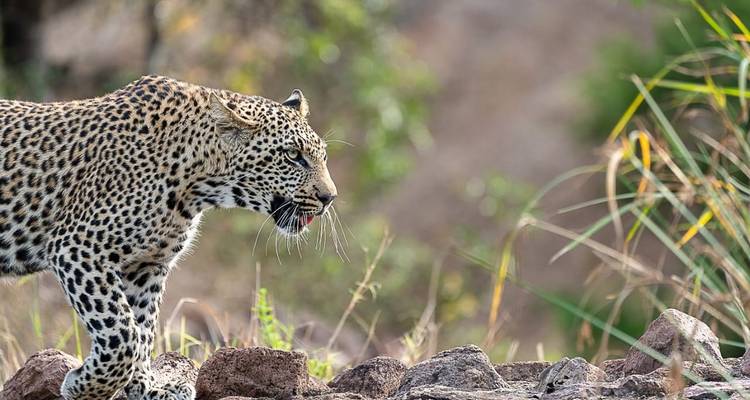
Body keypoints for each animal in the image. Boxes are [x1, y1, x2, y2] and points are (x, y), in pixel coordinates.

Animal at [0, 75, 337, 400]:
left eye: (323, 156)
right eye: (293, 156)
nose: (330, 197)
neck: (195, 184)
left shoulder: (146, 266)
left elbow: (141, 329)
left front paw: (145, 388)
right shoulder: (78, 249)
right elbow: (122, 334)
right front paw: (85, 387)